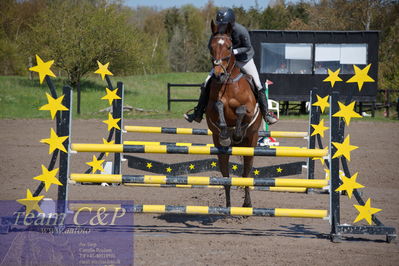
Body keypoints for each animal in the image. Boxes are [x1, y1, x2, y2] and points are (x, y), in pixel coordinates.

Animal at [206, 20, 262, 208]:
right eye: (211, 47)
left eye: (230, 47)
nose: (218, 74)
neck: (228, 83)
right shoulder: (212, 110)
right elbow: (218, 106)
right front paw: (225, 131)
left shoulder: (250, 110)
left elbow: (241, 110)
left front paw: (236, 133)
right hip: (220, 149)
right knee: (226, 177)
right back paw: (228, 205)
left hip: (251, 143)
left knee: (246, 174)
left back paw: (247, 204)